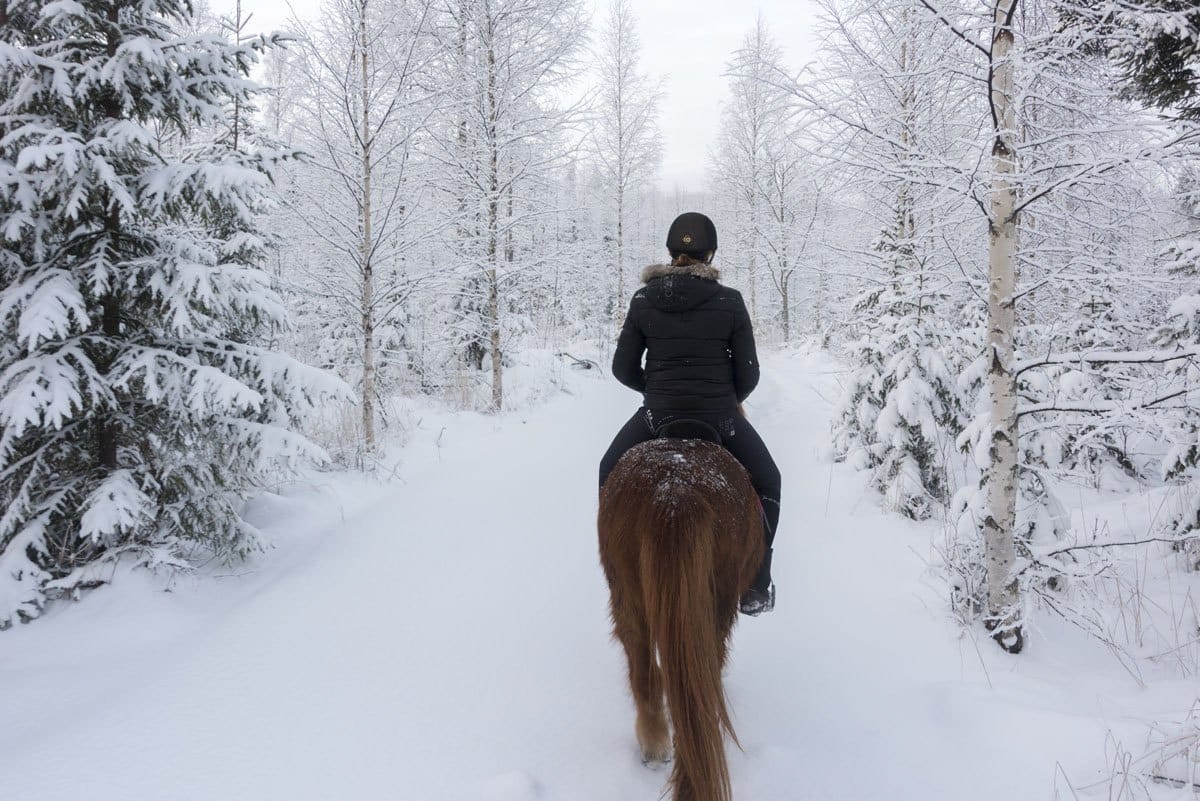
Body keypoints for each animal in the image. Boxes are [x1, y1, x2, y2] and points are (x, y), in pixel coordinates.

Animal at [597, 429, 763, 801]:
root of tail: (674, 490)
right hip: (717, 608)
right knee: (704, 676)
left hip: (628, 597)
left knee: (644, 673)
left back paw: (655, 746)